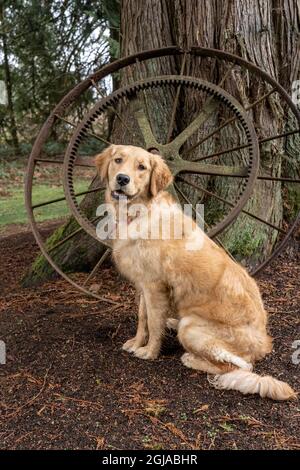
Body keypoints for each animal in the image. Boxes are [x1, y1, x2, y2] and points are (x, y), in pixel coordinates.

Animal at [95, 144, 296, 400]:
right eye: (118, 160)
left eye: (142, 167)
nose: (122, 179)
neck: (139, 212)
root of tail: (264, 344)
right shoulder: (143, 285)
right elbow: (142, 318)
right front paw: (136, 343)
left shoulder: (155, 286)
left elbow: (154, 322)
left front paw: (149, 352)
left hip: (190, 326)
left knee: (237, 367)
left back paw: (190, 358)